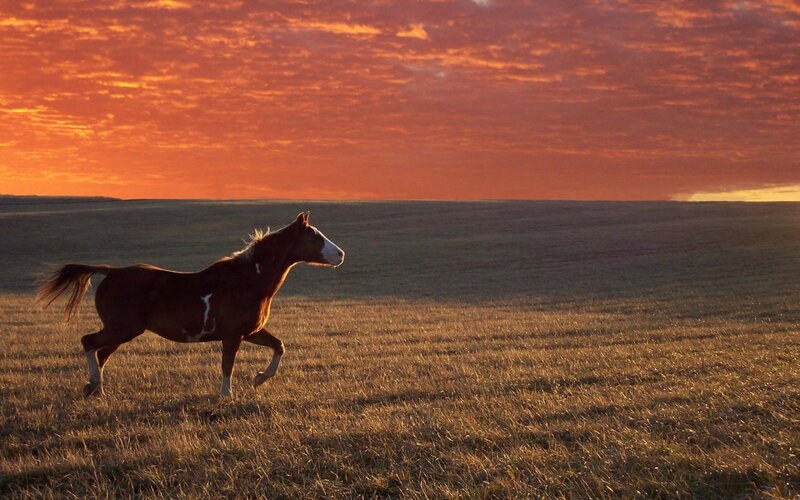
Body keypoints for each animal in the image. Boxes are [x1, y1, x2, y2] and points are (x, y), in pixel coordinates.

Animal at [36, 212, 344, 397]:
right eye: (315, 236)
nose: (341, 254)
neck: (248, 280)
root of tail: (111, 272)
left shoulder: (251, 332)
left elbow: (279, 346)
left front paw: (259, 379)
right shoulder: (233, 335)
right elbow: (227, 364)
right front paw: (226, 395)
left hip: (123, 331)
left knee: (101, 353)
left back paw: (97, 389)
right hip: (122, 328)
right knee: (89, 342)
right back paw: (93, 383)